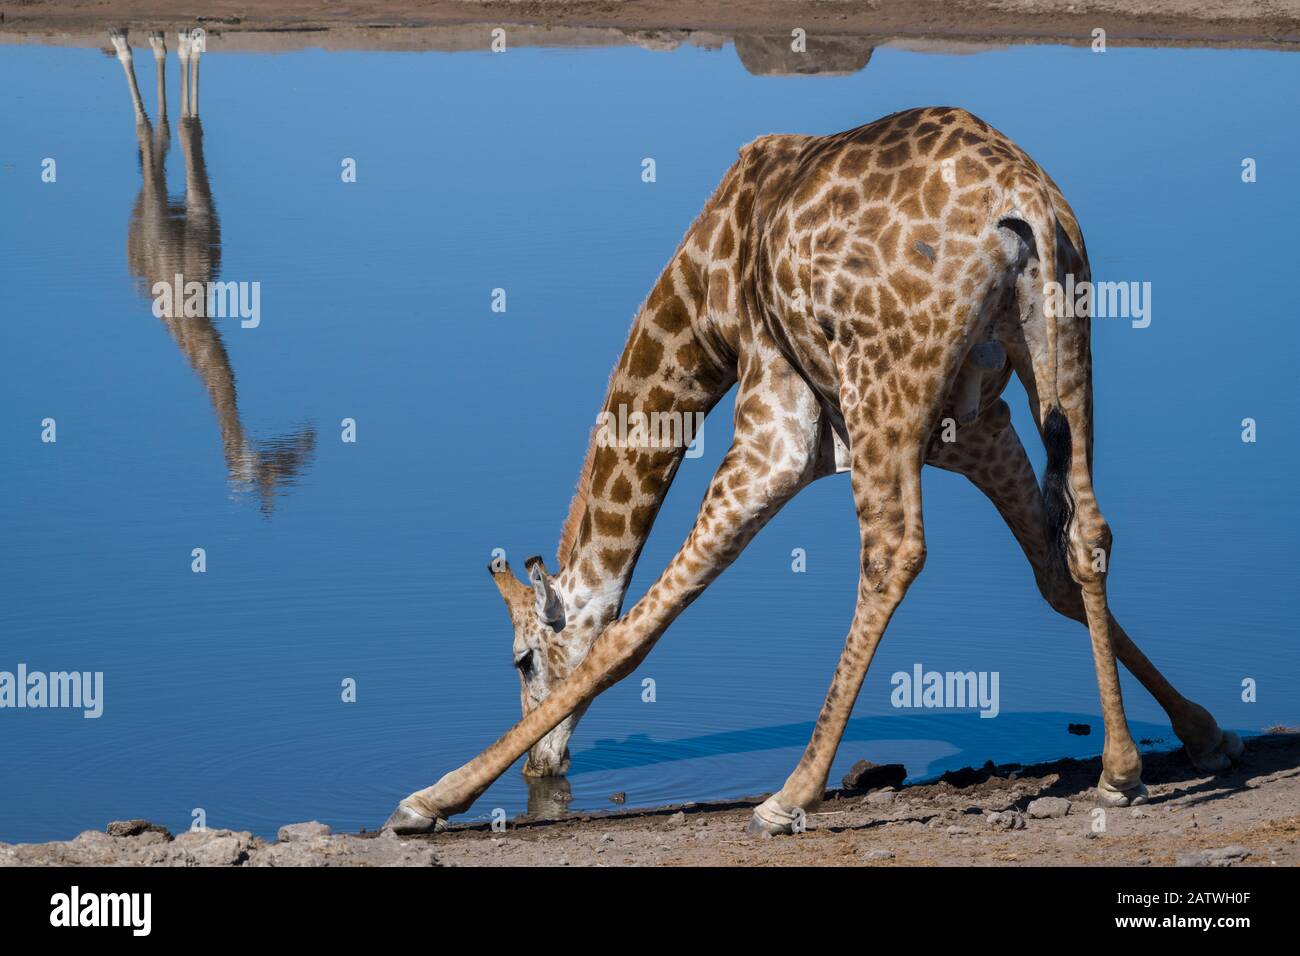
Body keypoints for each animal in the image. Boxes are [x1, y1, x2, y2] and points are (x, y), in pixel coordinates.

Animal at [110, 26, 315, 512]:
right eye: (271, 475)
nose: (304, 444)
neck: (195, 301)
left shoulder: (203, 220)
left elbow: (190, 126)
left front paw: (186, 41)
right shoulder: (181, 222)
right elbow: (186, 128)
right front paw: (190, 41)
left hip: (153, 207)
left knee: (158, 139)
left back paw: (159, 41)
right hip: (149, 211)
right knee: (151, 134)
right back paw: (130, 42)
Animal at [382, 106, 1237, 837]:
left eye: (523, 659)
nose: (542, 770)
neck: (703, 300)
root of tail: (1023, 198)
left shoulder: (777, 424)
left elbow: (634, 628)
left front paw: (429, 798)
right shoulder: (974, 431)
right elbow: (1052, 573)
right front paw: (1200, 734)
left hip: (886, 385)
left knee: (894, 550)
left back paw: (788, 795)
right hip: (1066, 346)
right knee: (1088, 528)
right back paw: (1120, 772)